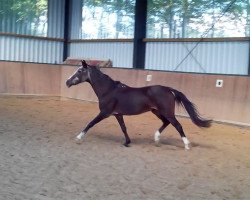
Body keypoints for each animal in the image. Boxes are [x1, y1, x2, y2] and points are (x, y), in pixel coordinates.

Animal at [66, 60, 211, 150]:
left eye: (79, 71)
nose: (67, 82)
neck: (108, 90)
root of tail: (169, 89)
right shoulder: (117, 114)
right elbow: (123, 128)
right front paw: (127, 142)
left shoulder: (104, 113)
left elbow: (90, 123)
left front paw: (78, 137)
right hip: (157, 111)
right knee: (166, 123)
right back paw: (156, 139)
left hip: (167, 112)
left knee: (178, 125)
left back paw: (186, 145)